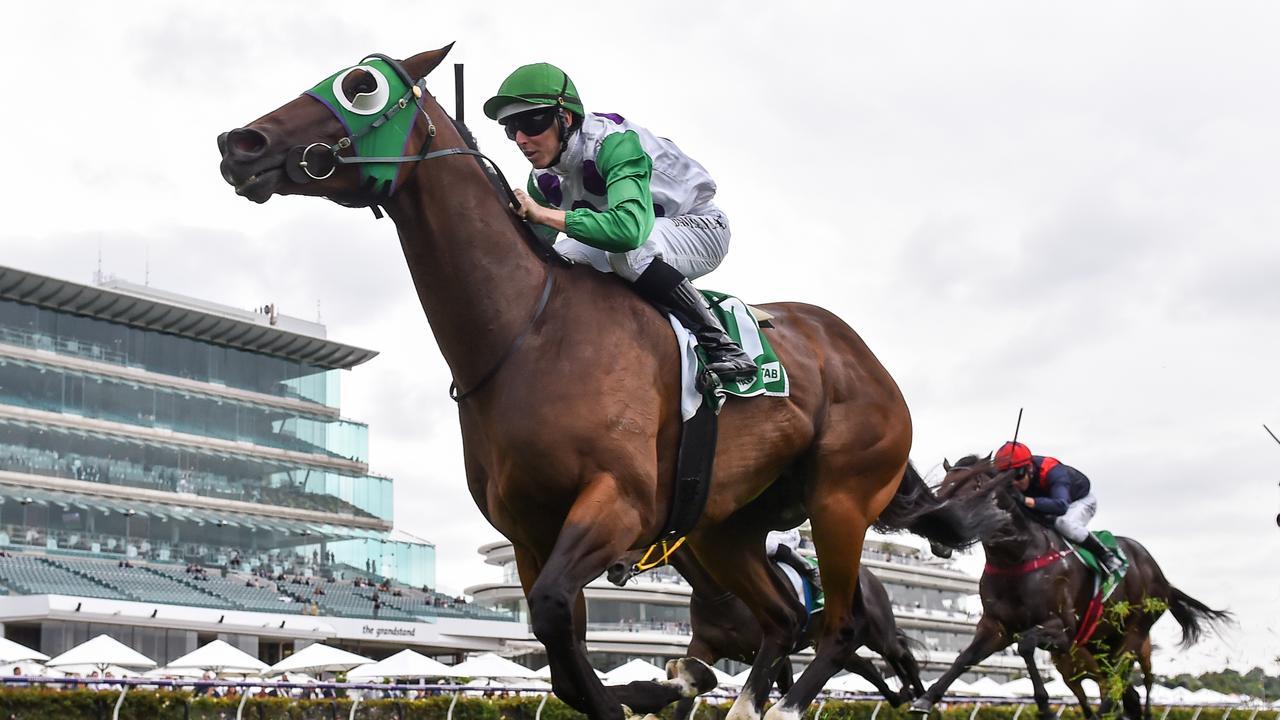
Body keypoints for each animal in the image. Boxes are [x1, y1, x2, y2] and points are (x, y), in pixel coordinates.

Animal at [604, 540, 926, 712]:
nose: (614, 567)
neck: (722, 592)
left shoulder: (775, 648)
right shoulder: (704, 647)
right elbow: (685, 700)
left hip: (878, 634)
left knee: (902, 653)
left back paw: (920, 695)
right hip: (834, 641)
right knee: (868, 667)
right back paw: (900, 696)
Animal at [911, 453, 1228, 717]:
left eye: (976, 487)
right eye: (941, 490)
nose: (939, 538)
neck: (1017, 556)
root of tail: (1162, 577)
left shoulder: (1064, 629)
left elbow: (1026, 645)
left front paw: (1044, 706)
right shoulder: (996, 626)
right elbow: (964, 658)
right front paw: (925, 699)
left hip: (1134, 634)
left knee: (1118, 684)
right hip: (1103, 643)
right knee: (1127, 692)